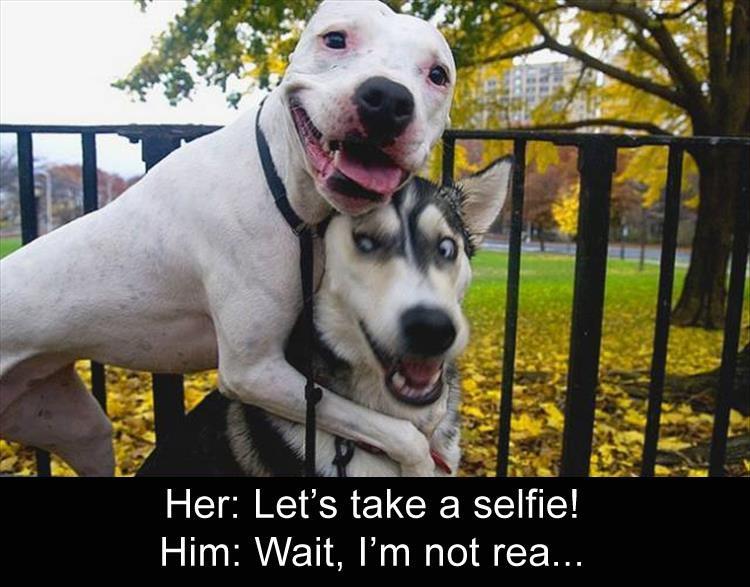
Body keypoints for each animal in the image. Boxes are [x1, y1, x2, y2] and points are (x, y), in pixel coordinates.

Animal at [0, 1, 459, 476]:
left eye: (437, 74)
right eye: (335, 39)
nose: (388, 99)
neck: (281, 179)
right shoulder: (256, 373)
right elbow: (403, 433)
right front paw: (423, 457)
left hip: (80, 430)